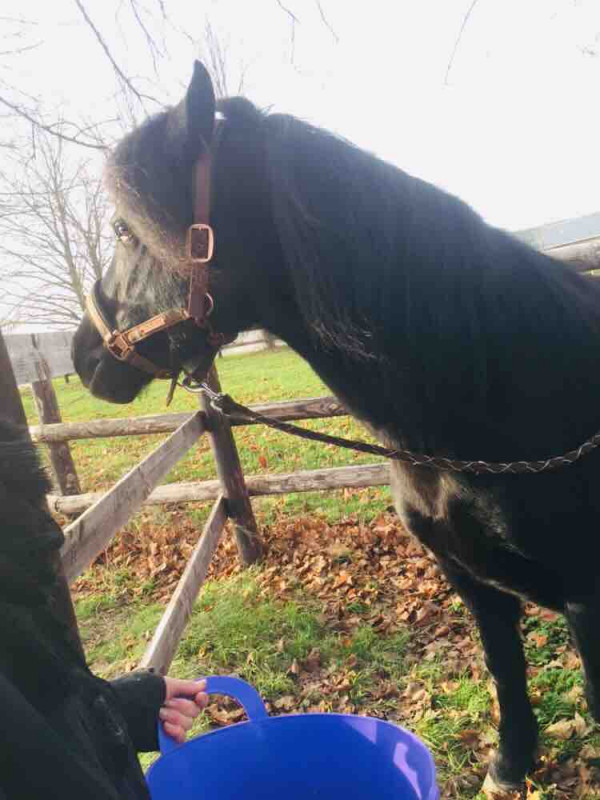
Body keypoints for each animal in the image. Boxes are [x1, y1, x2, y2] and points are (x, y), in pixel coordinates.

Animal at [71, 61, 600, 792]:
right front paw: (508, 768)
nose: (82, 357)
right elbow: (505, 672)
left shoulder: (588, 601)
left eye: (125, 231)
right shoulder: (472, 580)